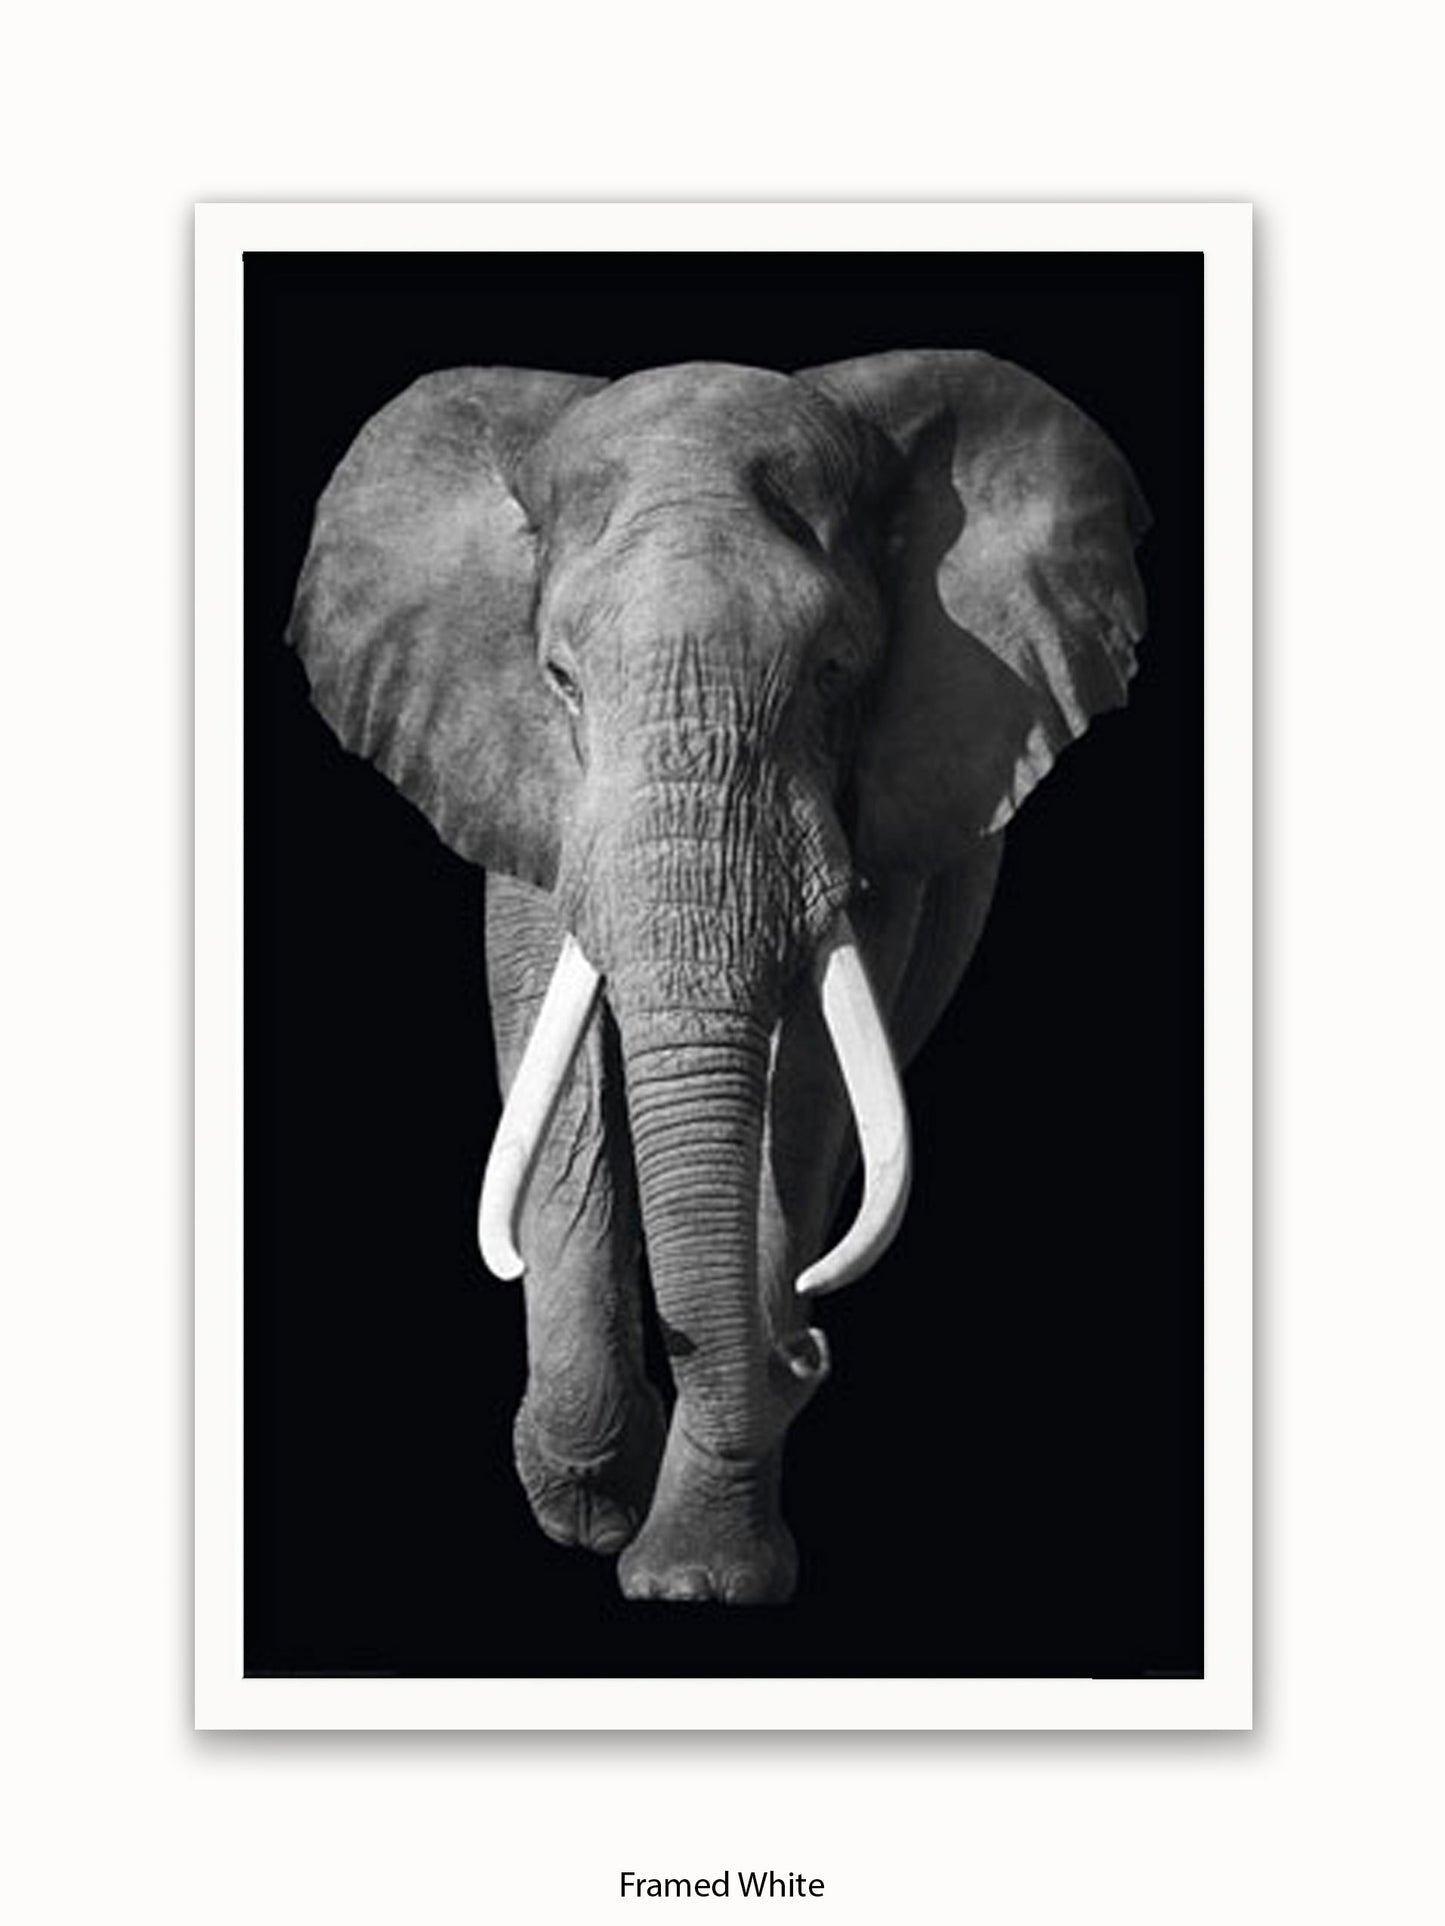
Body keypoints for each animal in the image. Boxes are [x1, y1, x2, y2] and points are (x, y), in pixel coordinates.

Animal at [287, 350, 1148, 1605]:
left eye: (836, 671)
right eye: (559, 678)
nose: (806, 1350)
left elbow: (804, 1090)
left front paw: (695, 1576)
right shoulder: (520, 775)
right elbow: (558, 1063)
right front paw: (592, 1502)